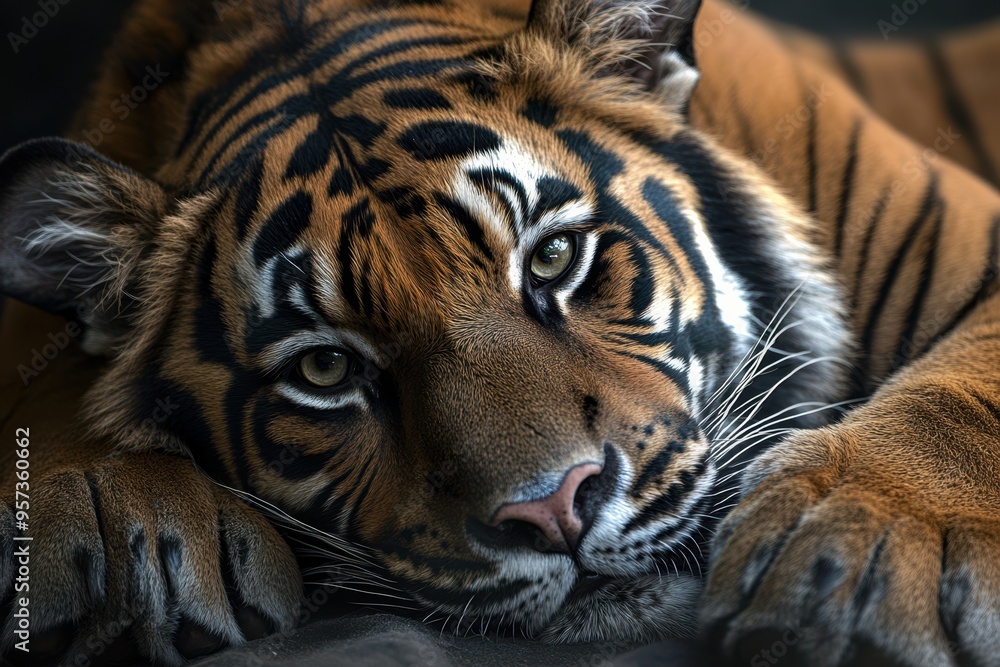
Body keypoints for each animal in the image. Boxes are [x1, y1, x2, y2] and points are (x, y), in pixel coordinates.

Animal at [1, 0, 1000, 664]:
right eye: (325, 368)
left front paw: (854, 557)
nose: (553, 511)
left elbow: (961, 392)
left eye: (554, 257)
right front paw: (114, 526)